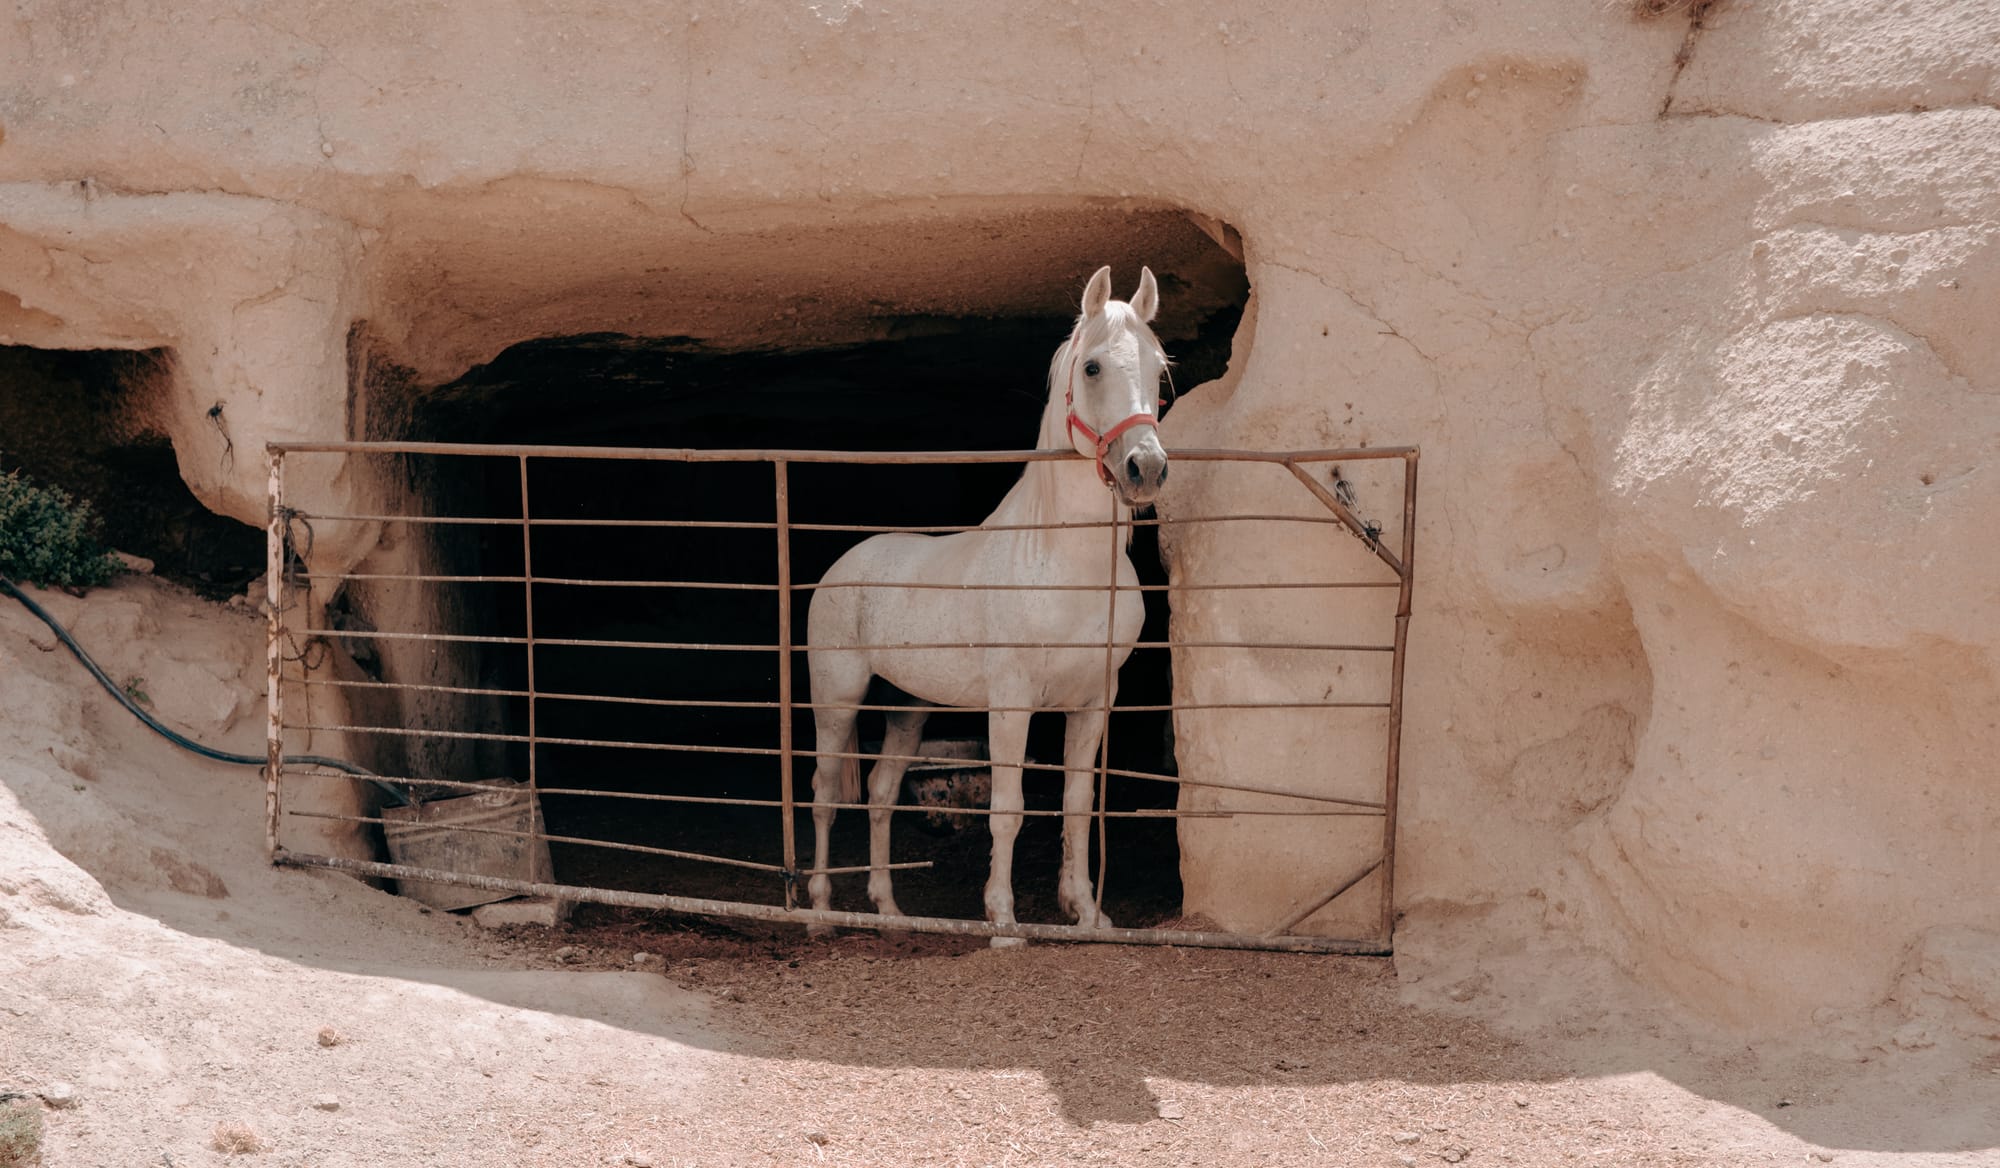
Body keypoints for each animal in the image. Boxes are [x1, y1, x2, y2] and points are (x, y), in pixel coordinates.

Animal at [804, 265, 1171, 945]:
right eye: (1093, 368)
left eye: (1159, 370)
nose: (1146, 468)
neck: (1062, 563)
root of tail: (845, 566)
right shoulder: (1012, 700)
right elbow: (1008, 809)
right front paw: (1003, 923)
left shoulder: (1093, 701)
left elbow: (1077, 808)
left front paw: (1087, 913)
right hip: (837, 697)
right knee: (823, 793)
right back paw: (817, 913)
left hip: (908, 708)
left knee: (881, 791)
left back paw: (890, 912)